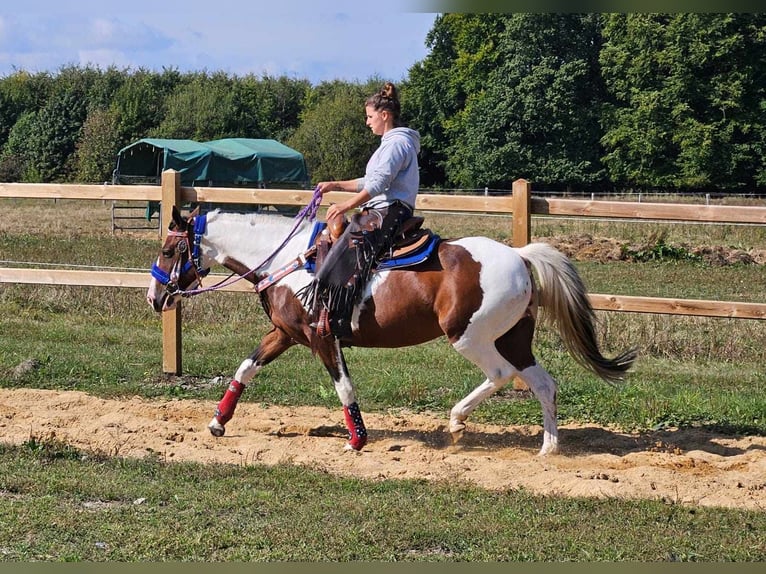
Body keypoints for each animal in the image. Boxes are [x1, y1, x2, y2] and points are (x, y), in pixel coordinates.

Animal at [147, 205, 640, 456]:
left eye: (170, 249)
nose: (155, 297)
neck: (289, 261)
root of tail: (519, 256)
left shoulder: (323, 338)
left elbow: (344, 387)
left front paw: (358, 439)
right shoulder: (286, 334)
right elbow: (246, 368)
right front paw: (217, 421)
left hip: (471, 336)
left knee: (501, 375)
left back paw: (457, 421)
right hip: (514, 338)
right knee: (543, 384)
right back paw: (548, 447)